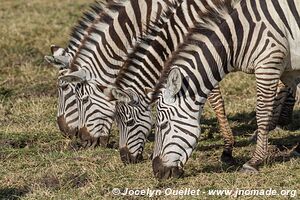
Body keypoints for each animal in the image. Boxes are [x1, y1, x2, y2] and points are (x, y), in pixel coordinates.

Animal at [151, 0, 300, 178]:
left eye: (163, 125)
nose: (157, 171)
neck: (240, 35)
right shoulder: (290, 71)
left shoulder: (268, 65)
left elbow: (262, 114)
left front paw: (254, 161)